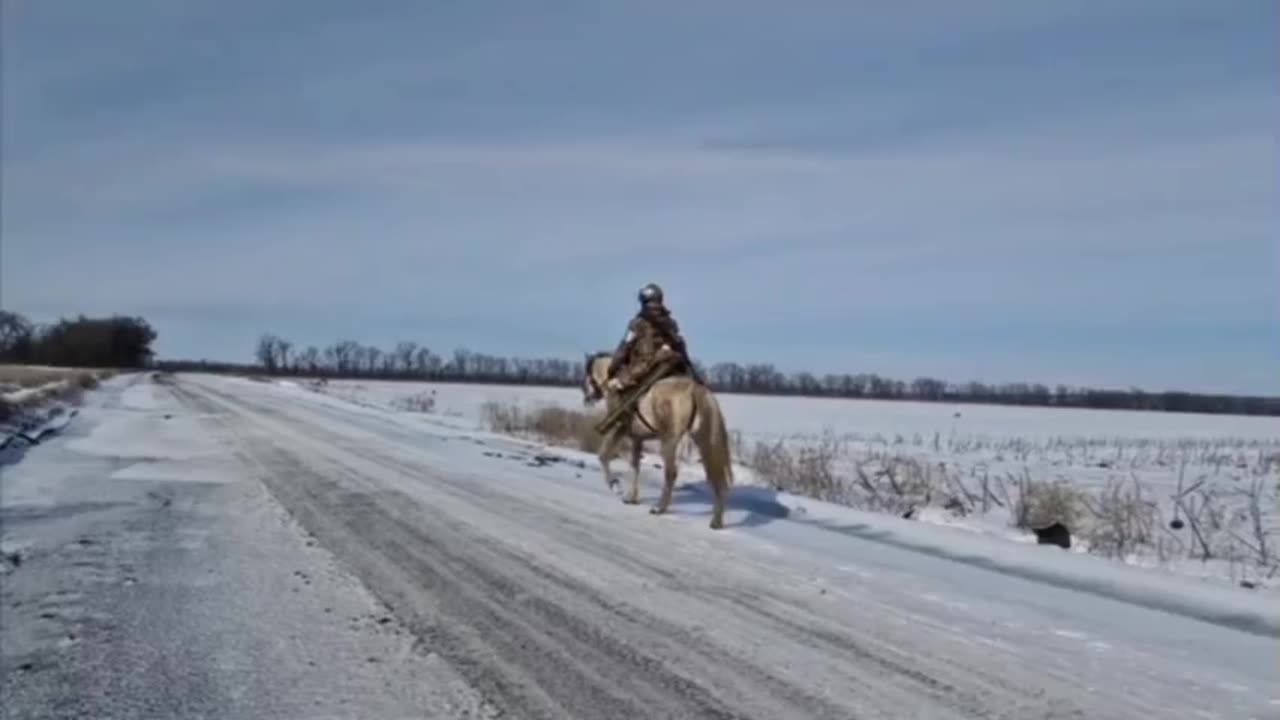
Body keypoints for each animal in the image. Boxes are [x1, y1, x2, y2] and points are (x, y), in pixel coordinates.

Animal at [578, 351, 732, 527]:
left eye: (588, 373)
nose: (587, 397)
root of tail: (695, 390)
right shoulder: (637, 438)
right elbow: (635, 465)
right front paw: (632, 497)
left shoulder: (620, 429)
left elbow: (603, 455)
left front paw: (615, 486)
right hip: (703, 439)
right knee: (716, 475)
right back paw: (716, 521)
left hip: (670, 440)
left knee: (671, 473)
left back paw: (659, 508)